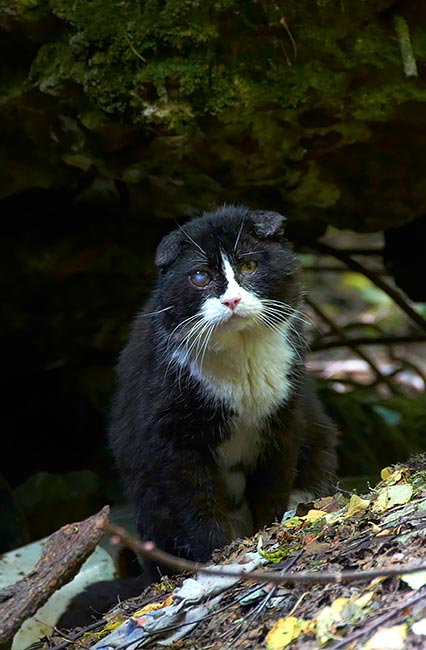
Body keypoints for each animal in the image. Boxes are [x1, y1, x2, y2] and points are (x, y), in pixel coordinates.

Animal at [110, 204, 340, 576]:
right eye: (200, 276)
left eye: (249, 266)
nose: (232, 300)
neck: (242, 362)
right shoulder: (172, 435)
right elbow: (195, 501)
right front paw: (217, 554)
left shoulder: (283, 418)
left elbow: (273, 484)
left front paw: (268, 531)